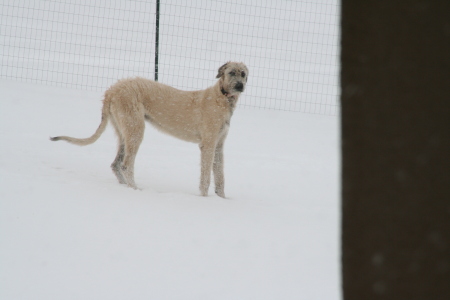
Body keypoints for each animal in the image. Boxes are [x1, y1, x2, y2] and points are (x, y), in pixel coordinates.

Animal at [50, 61, 248, 197]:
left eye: (243, 74)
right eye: (231, 72)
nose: (240, 86)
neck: (222, 97)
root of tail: (112, 90)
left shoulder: (218, 145)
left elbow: (220, 175)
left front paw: (222, 199)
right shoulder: (207, 144)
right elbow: (206, 177)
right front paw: (205, 199)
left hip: (124, 130)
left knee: (116, 164)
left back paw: (125, 187)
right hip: (135, 128)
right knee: (126, 165)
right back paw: (136, 190)